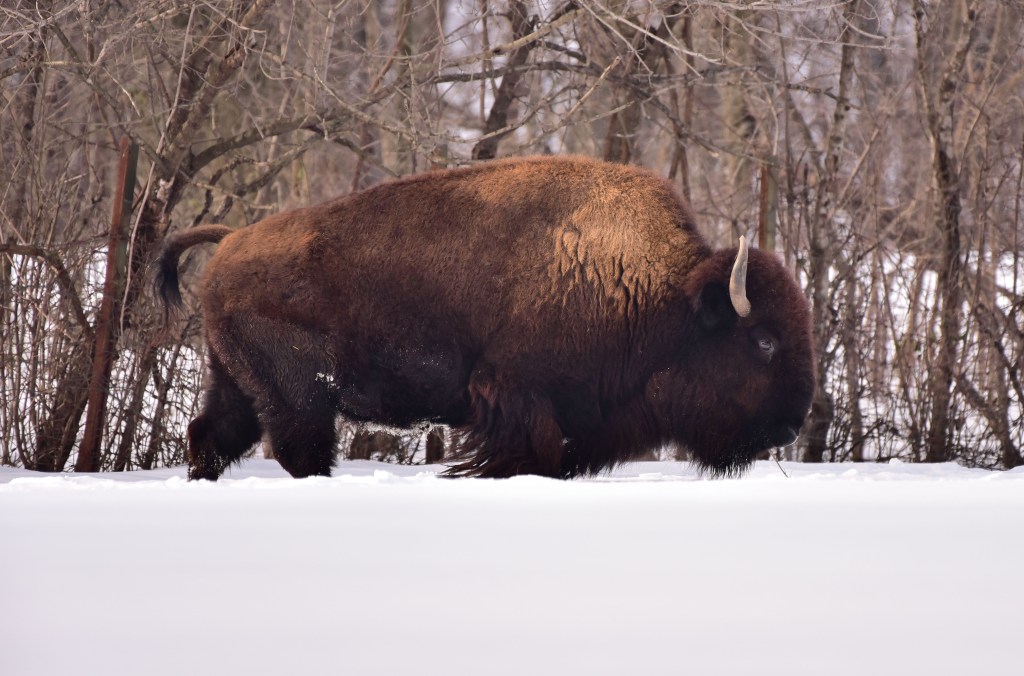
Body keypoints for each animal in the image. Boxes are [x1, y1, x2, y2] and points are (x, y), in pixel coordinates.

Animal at [156, 156, 814, 480]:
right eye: (763, 342)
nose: (790, 427)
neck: (658, 295)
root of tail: (232, 240)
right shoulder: (516, 396)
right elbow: (528, 455)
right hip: (300, 396)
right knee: (300, 452)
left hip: (235, 383)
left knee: (211, 436)